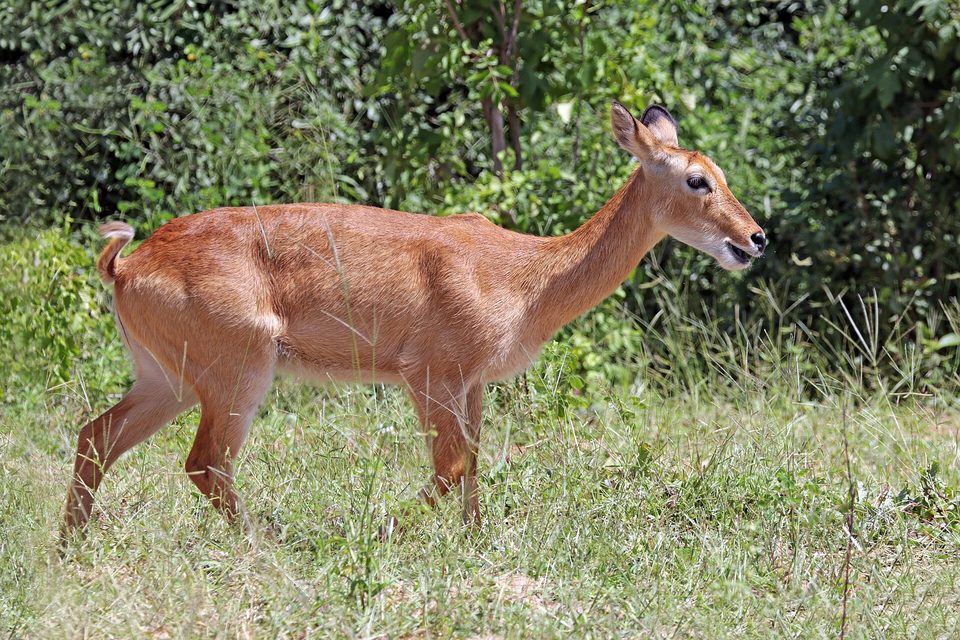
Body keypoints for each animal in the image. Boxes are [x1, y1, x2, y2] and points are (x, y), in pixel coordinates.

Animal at [62, 102, 766, 538]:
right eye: (697, 179)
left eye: (721, 172)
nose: (755, 239)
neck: (524, 275)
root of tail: (125, 265)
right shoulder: (428, 374)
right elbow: (450, 468)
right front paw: (379, 532)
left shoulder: (472, 383)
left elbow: (474, 464)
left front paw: (473, 545)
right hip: (238, 373)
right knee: (204, 463)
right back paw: (264, 544)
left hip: (168, 380)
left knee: (96, 436)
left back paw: (72, 549)